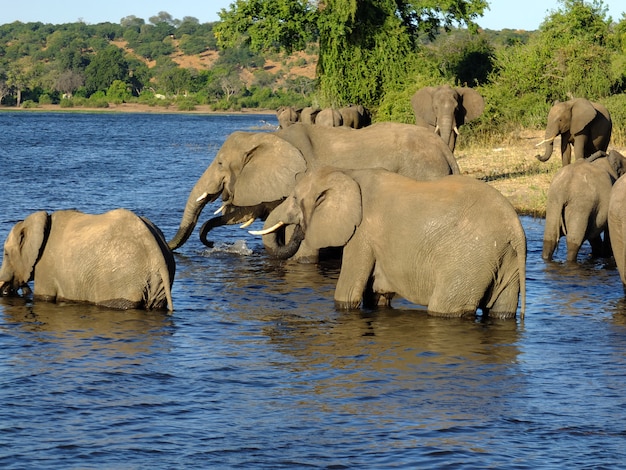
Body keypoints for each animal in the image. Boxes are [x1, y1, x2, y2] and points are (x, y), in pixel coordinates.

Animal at [0, 207, 174, 310]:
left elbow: (44, 297)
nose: (9, 289)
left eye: (6, 254)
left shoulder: (46, 267)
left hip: (122, 279)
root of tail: (156, 252)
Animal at [251, 168, 524, 320]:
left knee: (445, 307)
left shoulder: (362, 233)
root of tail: (516, 230)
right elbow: (376, 297)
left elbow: (347, 294)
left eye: (295, 198)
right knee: (501, 311)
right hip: (503, 258)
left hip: (468, 258)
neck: (345, 173)